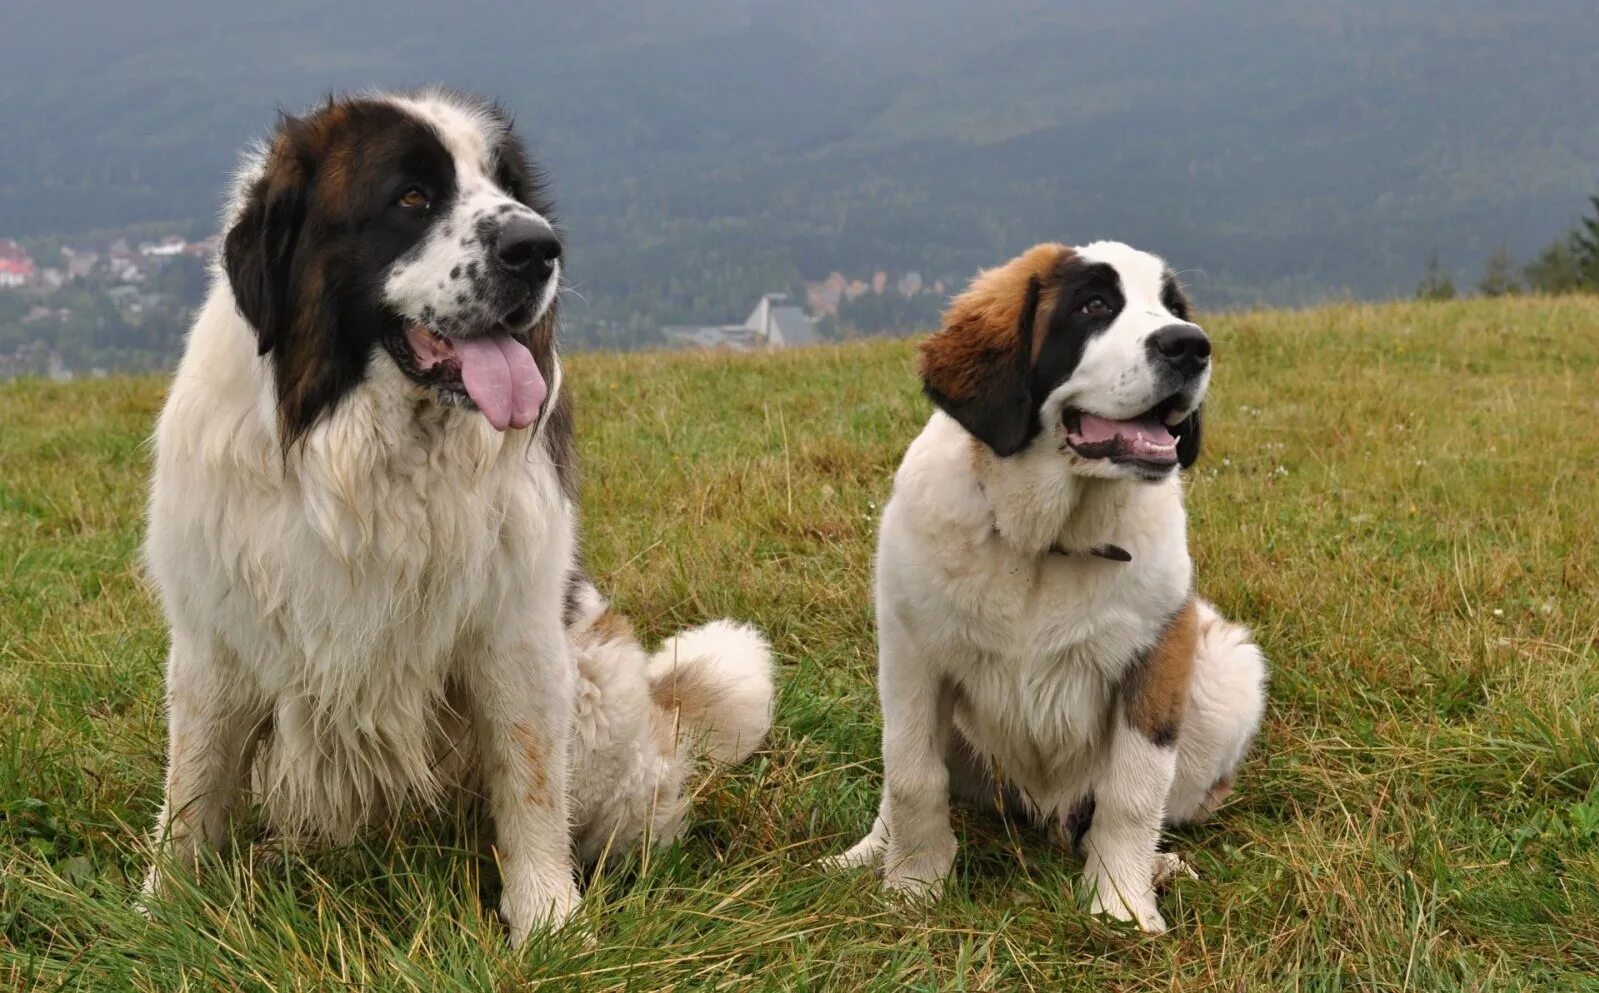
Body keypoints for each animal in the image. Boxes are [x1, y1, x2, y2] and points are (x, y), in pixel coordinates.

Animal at [140, 89, 777, 940]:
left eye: (508, 188)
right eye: (412, 197)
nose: (538, 248)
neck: (369, 456)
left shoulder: (514, 630)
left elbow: (528, 779)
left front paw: (548, 918)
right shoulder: (215, 636)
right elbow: (194, 782)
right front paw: (161, 908)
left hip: (598, 687)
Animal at [831, 238, 1266, 927]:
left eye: (1173, 307)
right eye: (1094, 306)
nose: (1190, 345)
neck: (1045, 543)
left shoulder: (1159, 654)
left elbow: (1133, 789)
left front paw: (1120, 903)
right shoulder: (910, 654)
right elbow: (910, 774)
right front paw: (912, 887)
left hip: (1228, 669)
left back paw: (1157, 866)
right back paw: (867, 852)